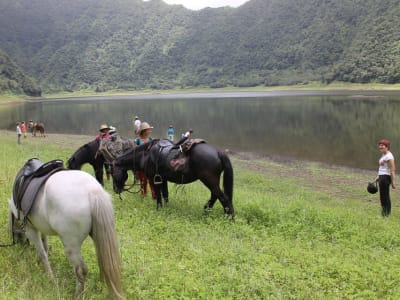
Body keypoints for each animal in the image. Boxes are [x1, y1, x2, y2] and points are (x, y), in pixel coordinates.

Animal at [9, 170, 125, 298]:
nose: (20, 244)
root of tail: (92, 191)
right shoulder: (42, 227)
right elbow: (45, 246)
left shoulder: (31, 229)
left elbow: (42, 253)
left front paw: (50, 279)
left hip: (71, 245)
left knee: (81, 270)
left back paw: (78, 295)